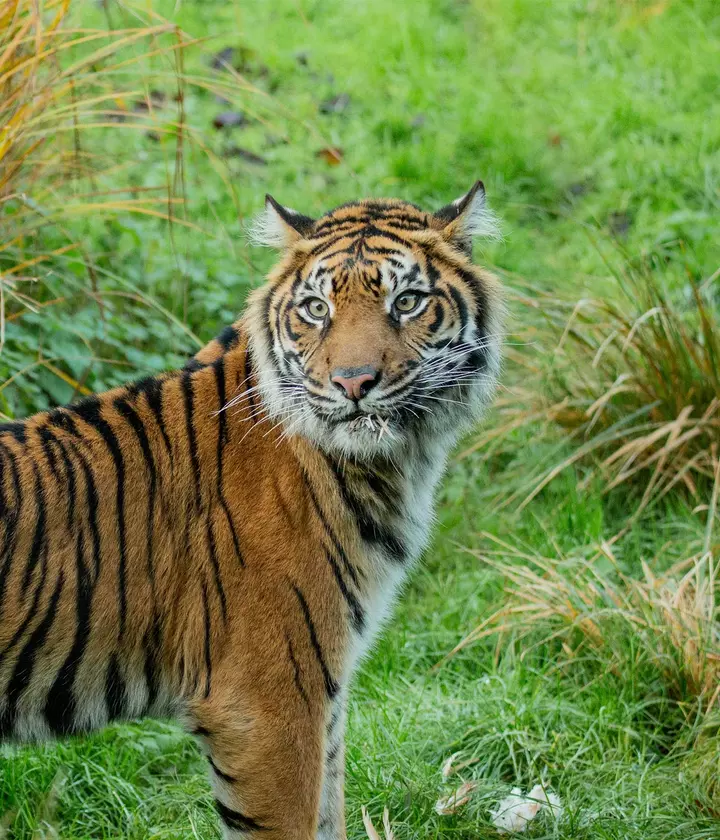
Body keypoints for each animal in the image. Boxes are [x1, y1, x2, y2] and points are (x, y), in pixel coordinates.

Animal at [0, 184, 504, 840]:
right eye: (316, 308)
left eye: (408, 302)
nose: (353, 382)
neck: (388, 464)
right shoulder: (268, 704)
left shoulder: (323, 697)